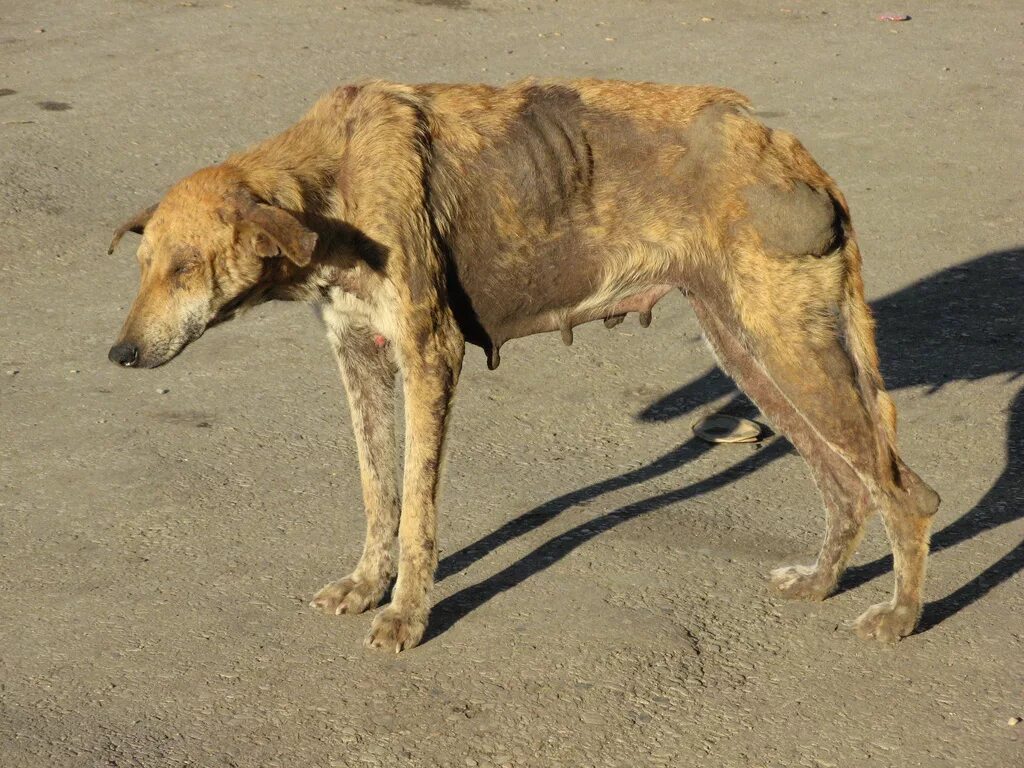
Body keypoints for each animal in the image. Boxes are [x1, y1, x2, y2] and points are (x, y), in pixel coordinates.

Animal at [108, 81, 937, 651]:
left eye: (184, 268)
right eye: (142, 268)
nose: (120, 354)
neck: (332, 179)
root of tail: (789, 149)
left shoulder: (429, 358)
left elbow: (417, 512)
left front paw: (406, 615)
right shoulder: (360, 360)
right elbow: (379, 495)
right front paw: (368, 586)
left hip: (789, 351)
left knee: (900, 489)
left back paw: (900, 614)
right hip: (748, 351)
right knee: (847, 486)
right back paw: (822, 582)